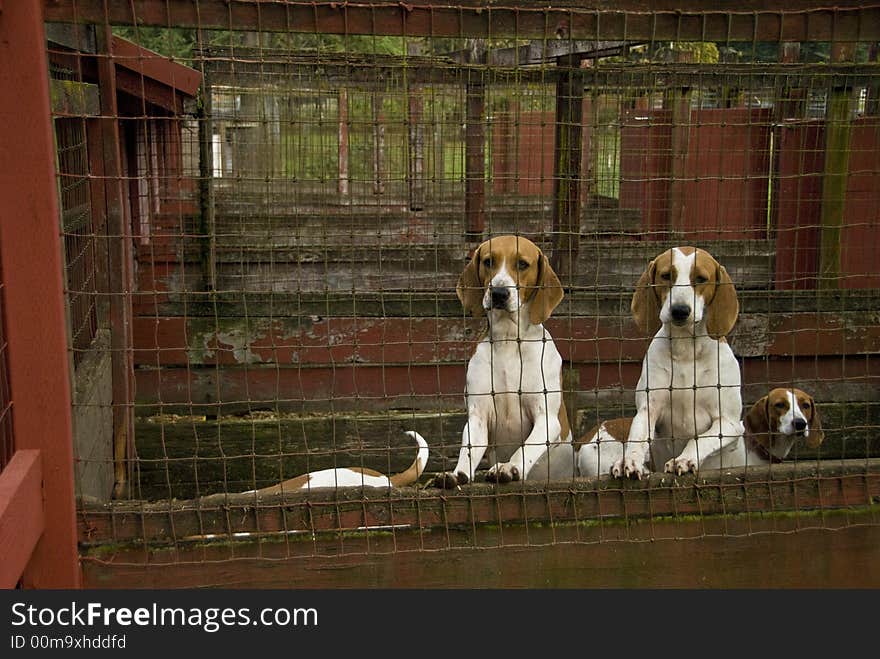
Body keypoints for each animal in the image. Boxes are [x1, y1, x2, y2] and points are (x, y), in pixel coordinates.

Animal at [428, 235, 576, 488]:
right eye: (488, 261)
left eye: (523, 264)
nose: (498, 292)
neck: (508, 340)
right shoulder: (478, 416)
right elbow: (468, 451)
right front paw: (457, 474)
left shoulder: (546, 418)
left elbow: (525, 448)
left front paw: (509, 467)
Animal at [612, 246, 744, 480]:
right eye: (666, 276)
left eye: (701, 279)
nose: (680, 310)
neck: (686, 350)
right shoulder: (648, 409)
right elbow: (636, 438)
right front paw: (629, 460)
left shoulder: (729, 423)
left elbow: (699, 438)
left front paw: (684, 459)